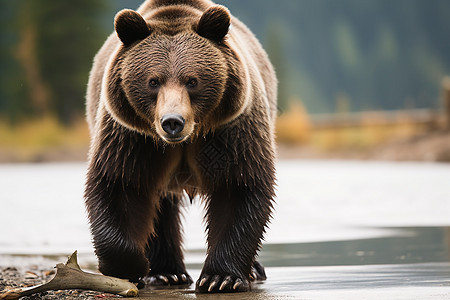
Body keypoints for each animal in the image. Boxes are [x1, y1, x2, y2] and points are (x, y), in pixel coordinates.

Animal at [83, 0, 274, 292]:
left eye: (192, 80)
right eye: (153, 81)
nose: (172, 122)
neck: (186, 140)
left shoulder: (231, 131)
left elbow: (238, 186)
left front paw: (221, 278)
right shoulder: (132, 137)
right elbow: (121, 185)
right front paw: (131, 267)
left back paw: (253, 269)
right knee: (160, 208)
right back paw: (166, 273)